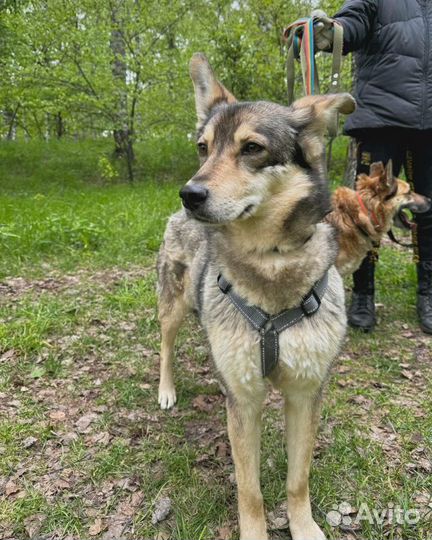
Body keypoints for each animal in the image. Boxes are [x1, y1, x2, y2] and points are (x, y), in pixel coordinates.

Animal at [157, 53, 356, 540]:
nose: (190, 193)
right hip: (172, 308)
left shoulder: (305, 393)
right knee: (166, 347)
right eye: (203, 147)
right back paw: (167, 390)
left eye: (252, 148)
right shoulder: (245, 402)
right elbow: (250, 490)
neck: (269, 261)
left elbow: (298, 479)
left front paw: (304, 527)